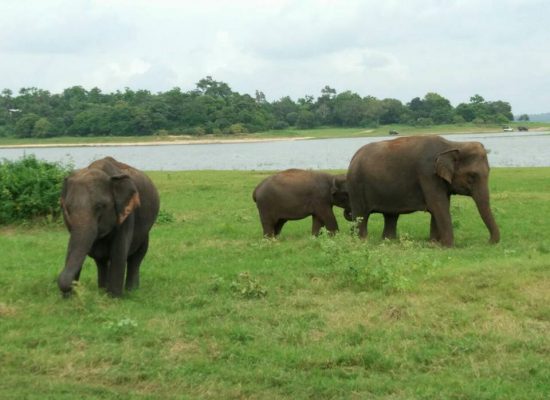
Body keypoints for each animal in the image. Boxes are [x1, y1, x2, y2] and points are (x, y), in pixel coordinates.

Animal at [59, 156, 161, 296]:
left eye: (99, 207)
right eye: (67, 209)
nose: (73, 287)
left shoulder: (126, 213)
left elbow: (118, 252)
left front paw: (114, 297)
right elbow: (74, 247)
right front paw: (68, 298)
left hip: (145, 229)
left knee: (137, 257)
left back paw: (131, 291)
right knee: (101, 261)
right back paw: (102, 290)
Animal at [352, 135, 502, 247]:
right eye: (472, 176)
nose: (487, 242)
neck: (453, 144)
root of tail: (353, 158)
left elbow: (440, 206)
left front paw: (433, 244)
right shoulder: (428, 174)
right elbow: (438, 205)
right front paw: (447, 246)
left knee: (391, 216)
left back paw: (389, 241)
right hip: (357, 187)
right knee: (361, 216)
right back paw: (362, 242)